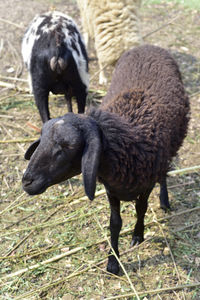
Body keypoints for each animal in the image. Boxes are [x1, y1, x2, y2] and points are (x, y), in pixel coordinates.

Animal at [22, 44, 190, 274]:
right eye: (42, 138)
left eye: (68, 146)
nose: (26, 181)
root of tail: (147, 46)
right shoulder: (112, 188)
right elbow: (115, 222)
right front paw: (113, 261)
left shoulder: (145, 184)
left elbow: (141, 208)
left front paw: (138, 235)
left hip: (168, 148)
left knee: (164, 172)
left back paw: (164, 200)